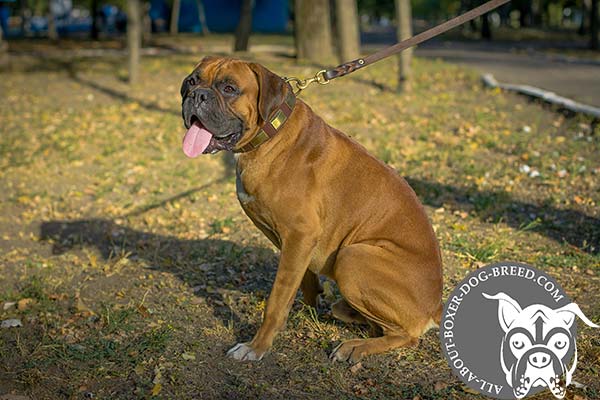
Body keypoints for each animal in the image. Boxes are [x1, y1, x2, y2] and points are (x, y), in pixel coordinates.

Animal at [180, 56, 442, 362]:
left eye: (229, 88)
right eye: (192, 81)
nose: (197, 95)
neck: (271, 135)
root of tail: (436, 305)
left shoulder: (300, 235)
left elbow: (277, 299)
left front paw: (257, 346)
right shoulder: (294, 241)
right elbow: (301, 279)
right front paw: (309, 306)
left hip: (353, 256)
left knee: (405, 336)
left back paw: (355, 346)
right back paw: (348, 312)